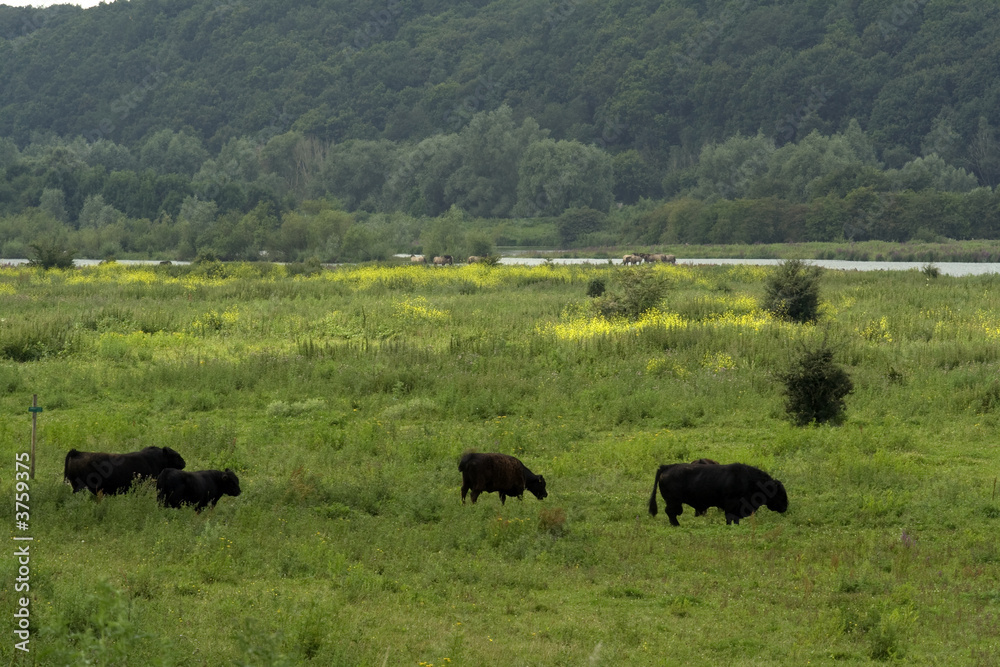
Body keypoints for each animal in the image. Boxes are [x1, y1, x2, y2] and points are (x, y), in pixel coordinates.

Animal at [648, 462, 788, 524]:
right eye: (780, 493)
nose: (785, 506)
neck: (748, 479)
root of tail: (667, 467)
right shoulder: (731, 506)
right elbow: (730, 517)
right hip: (674, 502)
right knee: (670, 512)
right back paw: (676, 525)